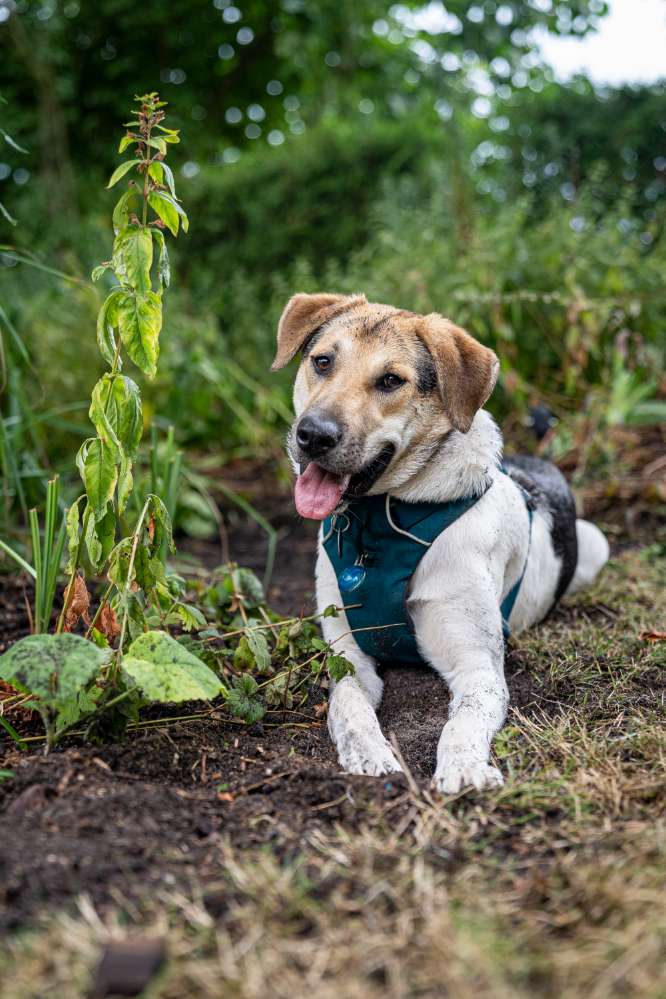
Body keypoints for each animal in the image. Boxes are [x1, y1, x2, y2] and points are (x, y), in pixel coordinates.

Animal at [270, 292, 608, 792]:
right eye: (323, 361)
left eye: (391, 380)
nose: (312, 436)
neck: (382, 522)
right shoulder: (347, 655)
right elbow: (348, 705)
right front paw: (369, 754)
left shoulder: (478, 667)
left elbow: (462, 722)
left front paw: (464, 768)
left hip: (595, 544)